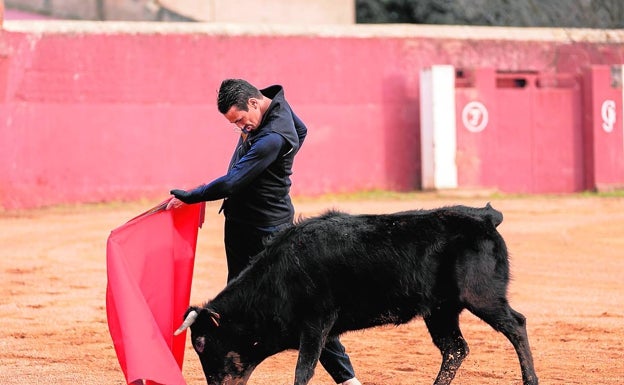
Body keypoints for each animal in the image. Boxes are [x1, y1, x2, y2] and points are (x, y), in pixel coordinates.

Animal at [174, 202, 536, 382]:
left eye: (202, 343)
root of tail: (485, 216)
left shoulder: (316, 321)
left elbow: (304, 369)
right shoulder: (321, 328)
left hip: (481, 296)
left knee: (515, 325)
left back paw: (530, 379)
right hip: (440, 310)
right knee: (454, 349)